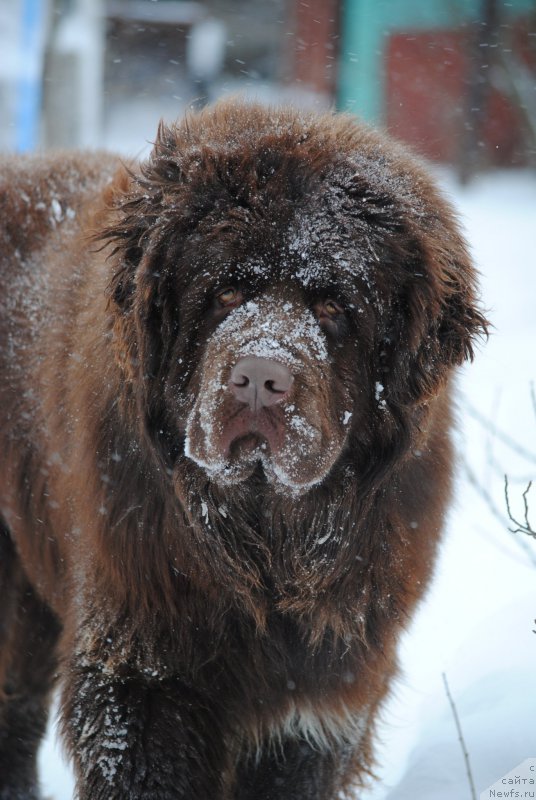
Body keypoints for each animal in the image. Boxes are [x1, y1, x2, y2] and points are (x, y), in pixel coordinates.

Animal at [0, 101, 486, 800]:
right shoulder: (144, 673)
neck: (264, 547)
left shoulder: (318, 699)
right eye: (224, 293)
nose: (259, 377)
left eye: (333, 306)